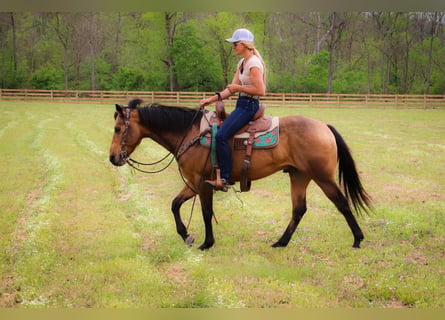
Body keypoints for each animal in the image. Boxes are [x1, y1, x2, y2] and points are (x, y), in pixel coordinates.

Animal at [108, 97, 372, 250]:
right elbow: (174, 204)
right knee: (299, 209)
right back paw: (281, 242)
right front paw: (186, 236)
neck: (189, 133)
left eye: (118, 128)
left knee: (342, 203)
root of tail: (323, 126)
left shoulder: (202, 183)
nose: (112, 157)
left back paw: (358, 239)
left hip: (322, 177)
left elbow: (206, 213)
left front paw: (206, 243)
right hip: (299, 175)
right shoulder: (192, 182)